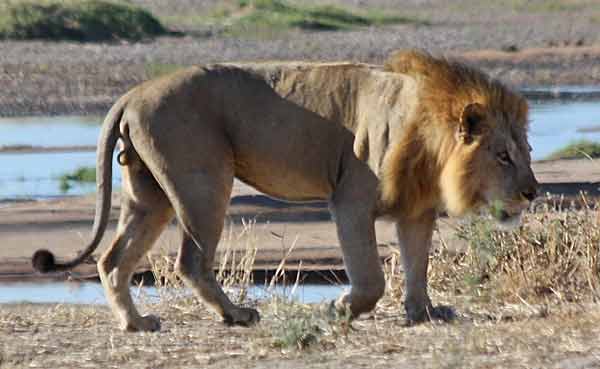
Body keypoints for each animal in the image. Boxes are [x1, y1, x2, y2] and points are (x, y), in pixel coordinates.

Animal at [32, 49, 540, 330]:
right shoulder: (350, 199)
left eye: (527, 150)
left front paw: (424, 313)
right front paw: (339, 308)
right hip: (203, 182)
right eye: (502, 156)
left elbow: (418, 266)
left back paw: (136, 324)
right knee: (190, 259)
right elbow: (371, 278)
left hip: (148, 195)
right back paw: (235, 315)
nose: (533, 192)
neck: (432, 140)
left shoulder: (416, 210)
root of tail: (133, 92)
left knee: (112, 258)